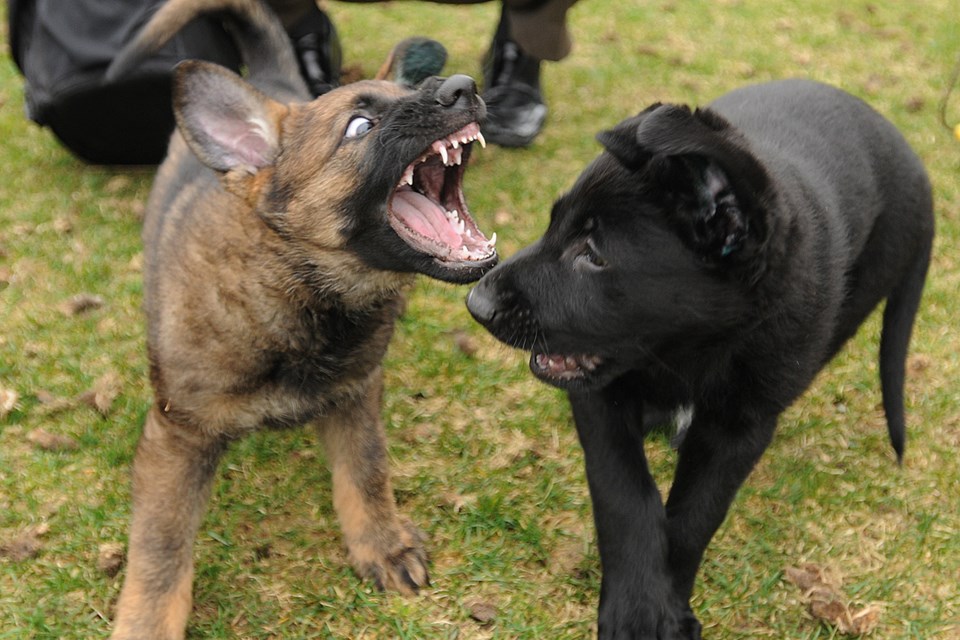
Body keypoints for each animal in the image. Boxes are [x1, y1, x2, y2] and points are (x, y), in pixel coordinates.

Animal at [105, 2, 496, 636]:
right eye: (359, 126)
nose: (465, 86)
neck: (300, 294)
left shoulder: (356, 390)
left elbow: (366, 470)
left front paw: (381, 544)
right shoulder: (178, 435)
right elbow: (161, 545)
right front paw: (146, 622)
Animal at [468, 81, 932, 640]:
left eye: (594, 255)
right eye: (554, 223)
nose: (476, 303)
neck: (691, 351)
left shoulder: (742, 425)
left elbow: (694, 516)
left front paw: (662, 607)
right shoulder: (599, 399)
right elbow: (624, 496)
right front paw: (635, 610)